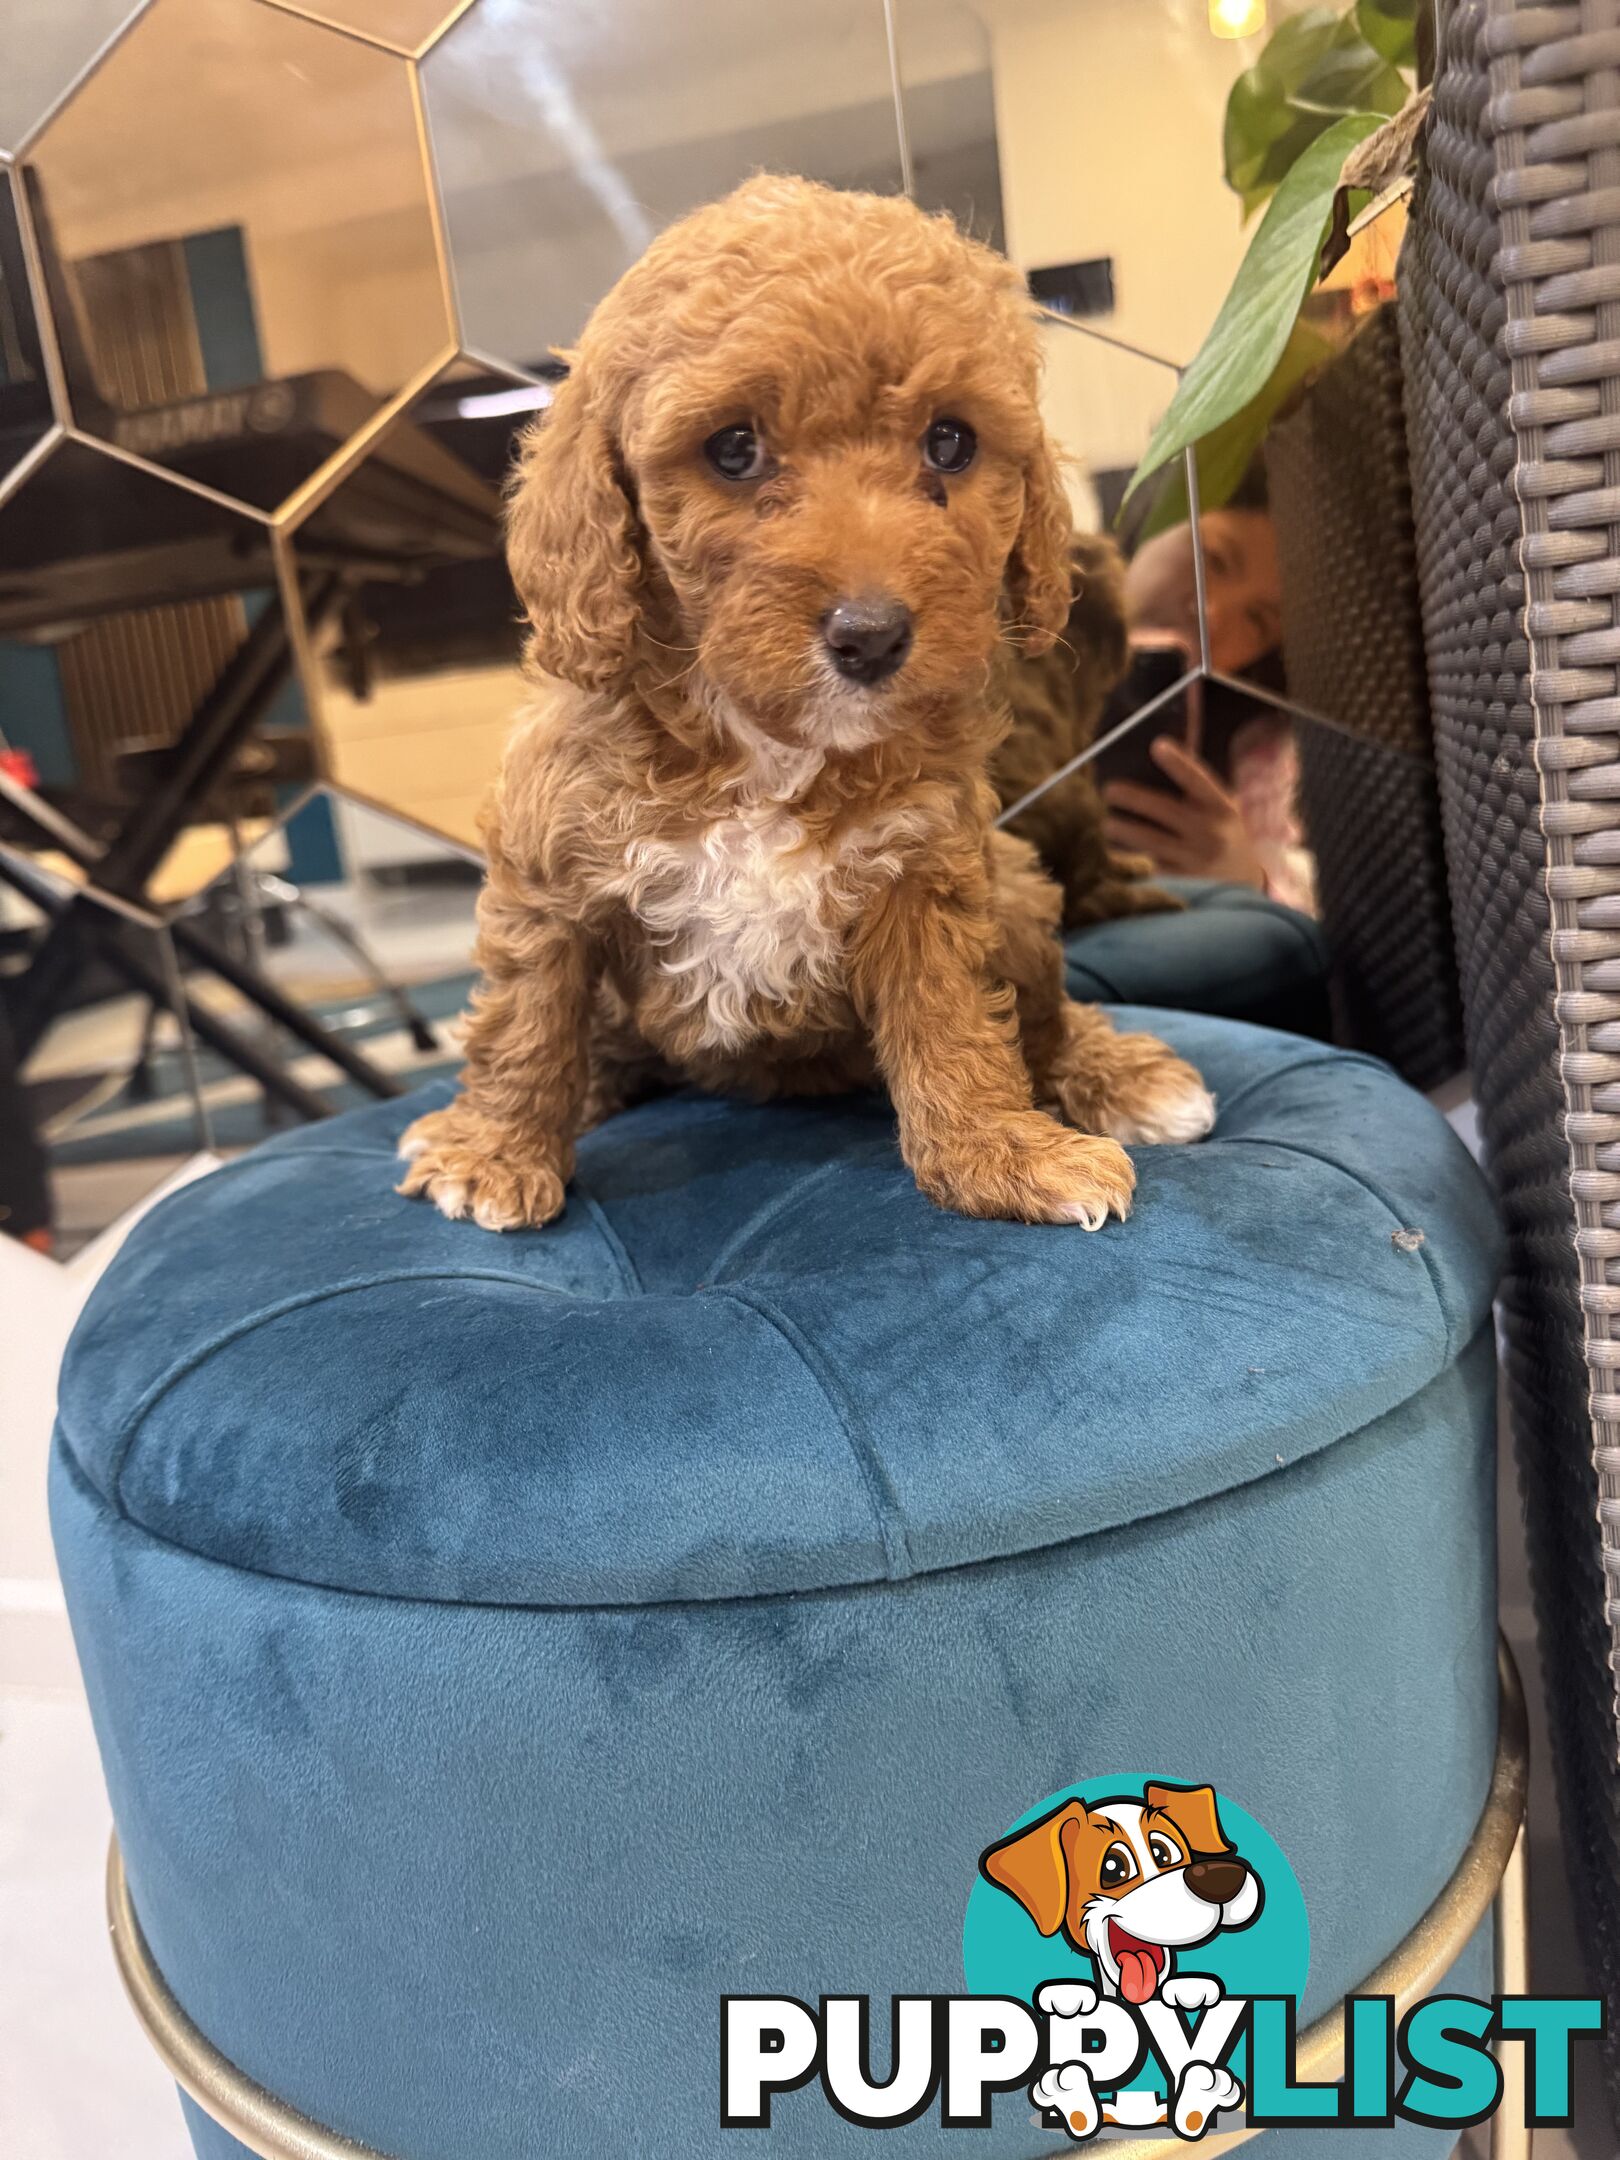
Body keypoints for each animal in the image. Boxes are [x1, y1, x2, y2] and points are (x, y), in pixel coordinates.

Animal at [399, 181, 1209, 1235]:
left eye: (950, 441)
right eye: (735, 449)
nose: (871, 636)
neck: (764, 743)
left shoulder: (926, 866)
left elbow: (955, 1020)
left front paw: (1001, 1154)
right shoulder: (547, 867)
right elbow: (527, 1015)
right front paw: (494, 1153)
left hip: (1022, 897)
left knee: (1046, 1014)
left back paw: (1124, 1078)